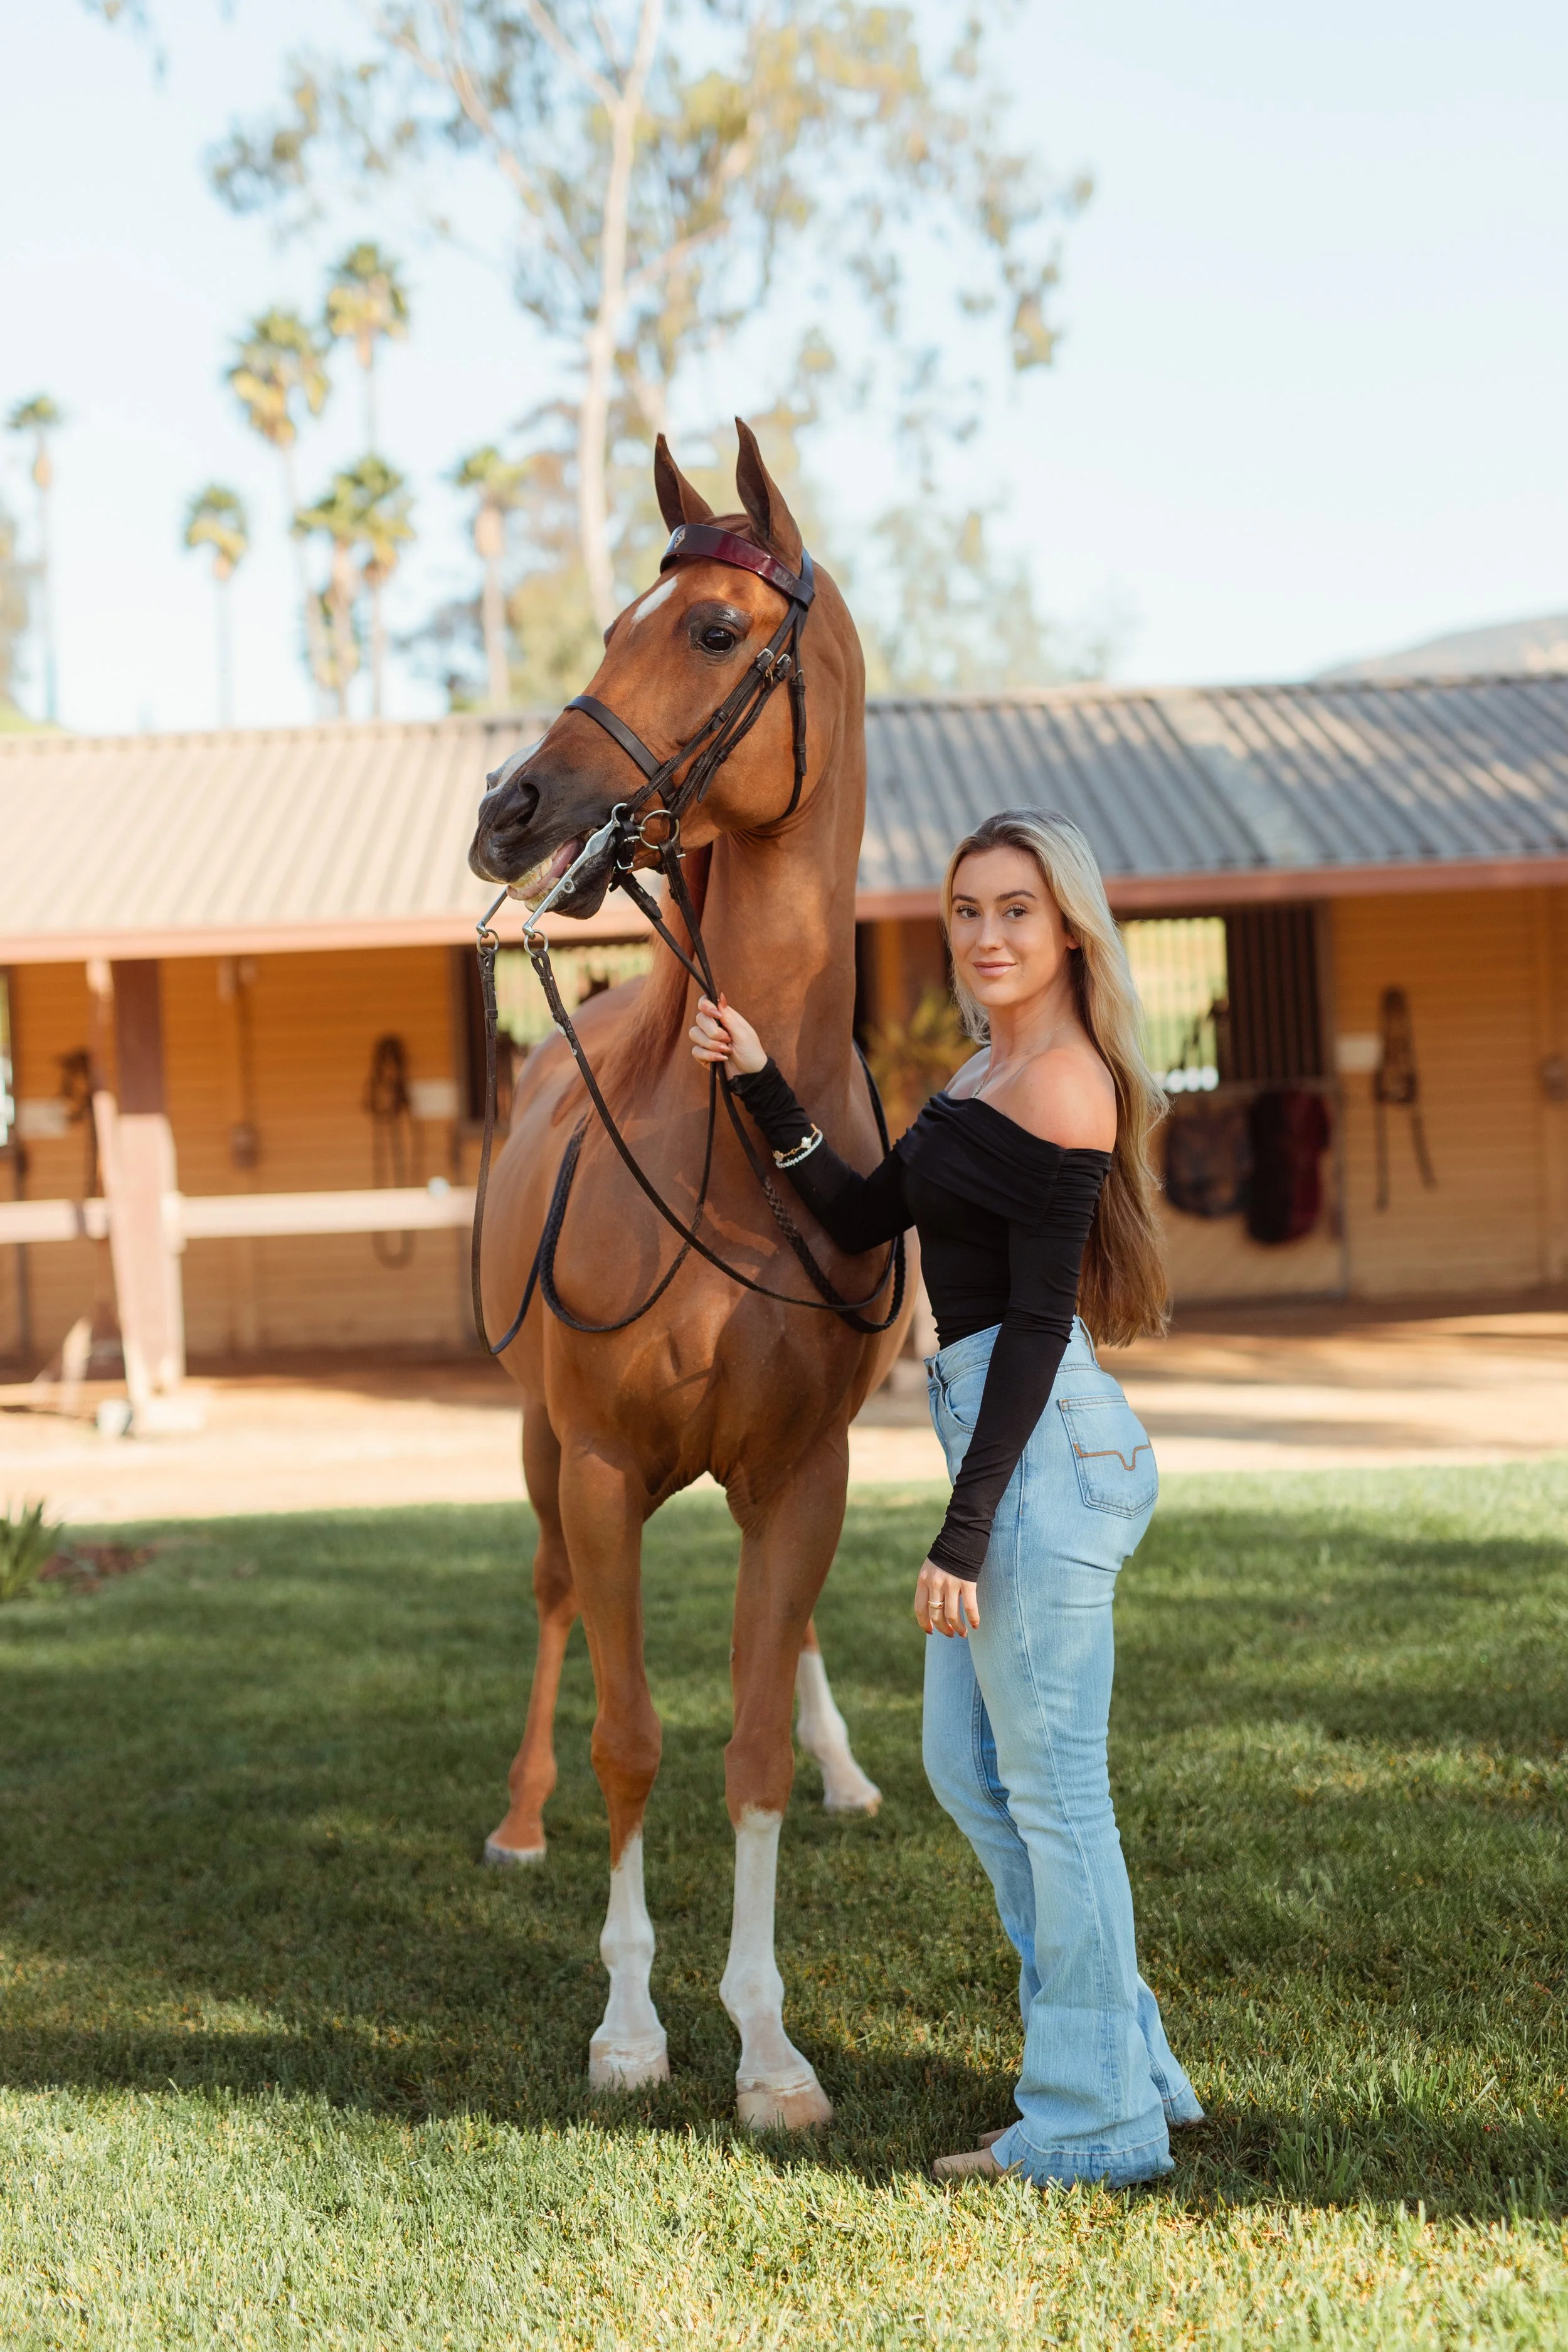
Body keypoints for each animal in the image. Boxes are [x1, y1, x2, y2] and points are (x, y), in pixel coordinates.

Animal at [468, 419, 911, 2129]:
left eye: (716, 630)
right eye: (610, 628)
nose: (511, 808)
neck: (731, 1143)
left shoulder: (801, 1472)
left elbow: (752, 1750)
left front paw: (770, 2048)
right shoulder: (600, 1469)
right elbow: (633, 1739)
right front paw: (631, 2028)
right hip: (540, 1452)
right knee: (550, 1612)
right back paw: (517, 1820)